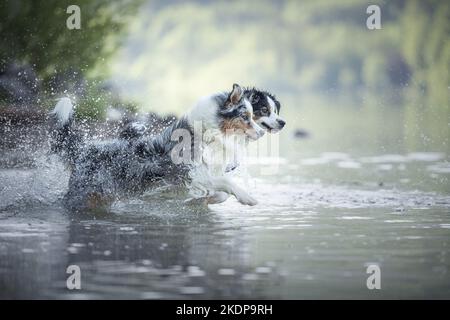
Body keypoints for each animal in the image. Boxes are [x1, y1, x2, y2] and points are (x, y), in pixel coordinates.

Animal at [49, 84, 266, 211]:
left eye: (252, 115)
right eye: (245, 117)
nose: (263, 133)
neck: (208, 131)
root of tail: (83, 149)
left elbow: (220, 193)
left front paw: (200, 201)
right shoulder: (191, 173)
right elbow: (227, 183)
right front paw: (247, 198)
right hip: (83, 192)